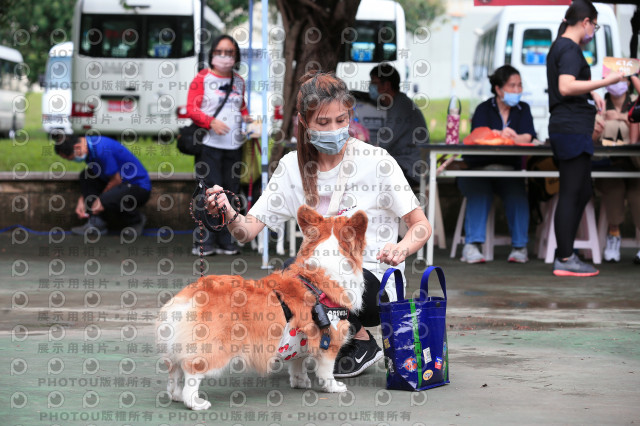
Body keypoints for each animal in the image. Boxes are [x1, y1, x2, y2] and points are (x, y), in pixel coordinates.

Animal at [156, 205, 364, 412]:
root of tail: (190, 295)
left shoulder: (301, 339)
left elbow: (298, 363)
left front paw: (300, 382)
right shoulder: (331, 339)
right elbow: (327, 371)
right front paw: (334, 387)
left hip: (176, 347)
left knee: (174, 372)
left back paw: (176, 396)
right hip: (214, 348)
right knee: (191, 373)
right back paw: (195, 403)